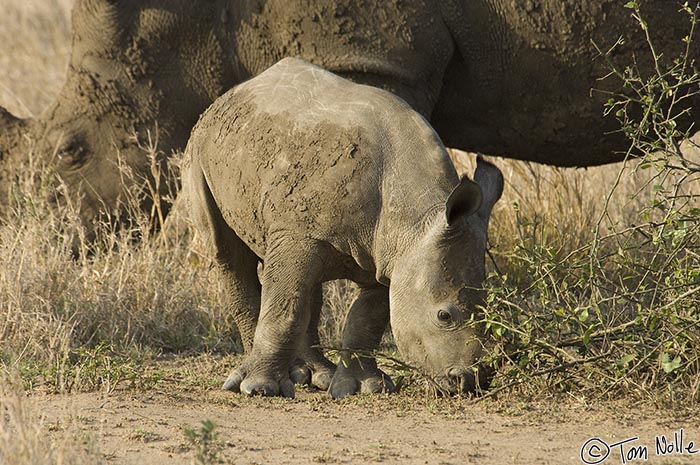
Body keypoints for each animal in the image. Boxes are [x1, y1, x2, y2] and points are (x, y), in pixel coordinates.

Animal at [185, 58, 504, 398]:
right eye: (444, 316)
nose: (471, 381)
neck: (417, 217)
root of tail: (234, 93)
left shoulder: (390, 256)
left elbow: (367, 318)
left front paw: (365, 387)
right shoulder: (301, 234)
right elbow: (284, 309)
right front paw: (259, 388)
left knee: (306, 284)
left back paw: (315, 375)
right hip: (202, 145)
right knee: (229, 253)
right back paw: (244, 381)